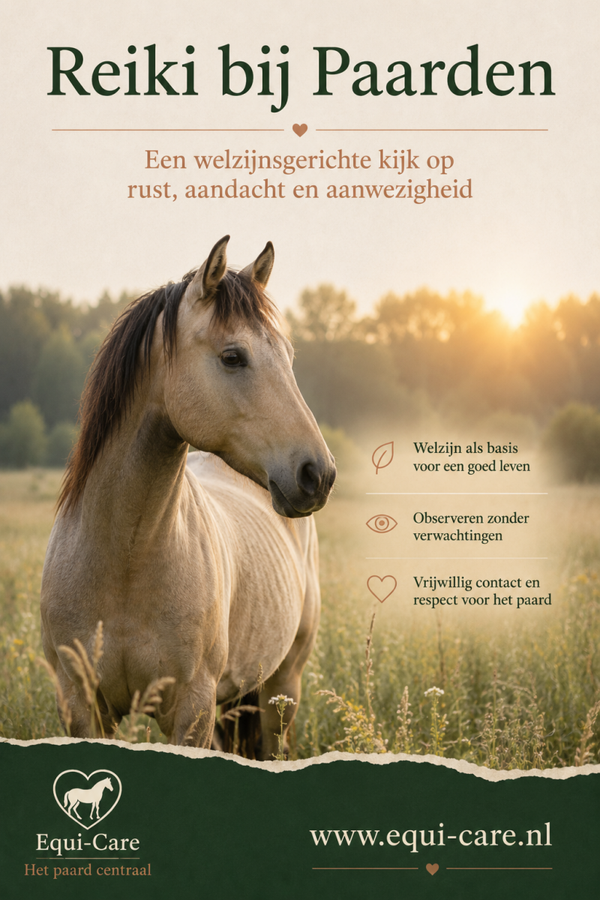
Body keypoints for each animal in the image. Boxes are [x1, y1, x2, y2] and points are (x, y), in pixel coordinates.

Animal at [41, 236, 336, 758]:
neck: (125, 556)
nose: (317, 474)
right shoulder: (80, 703)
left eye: (288, 355)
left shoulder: (192, 706)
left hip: (282, 688)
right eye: (233, 357)